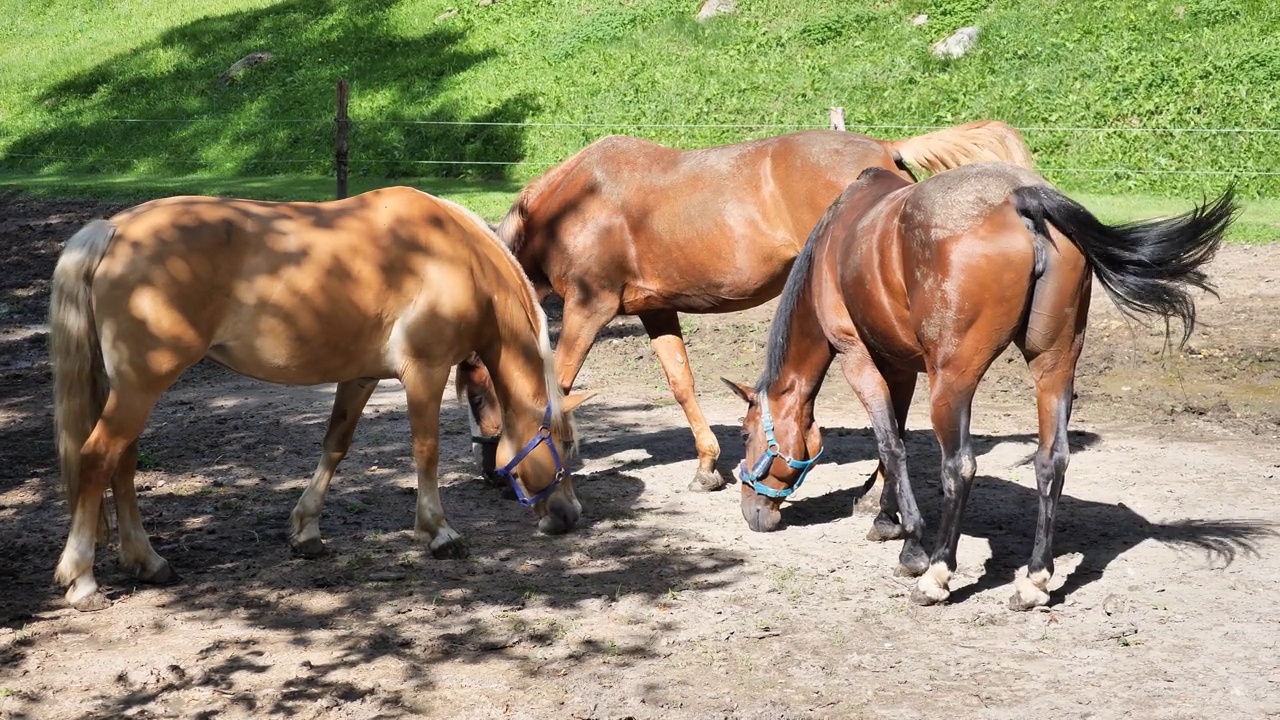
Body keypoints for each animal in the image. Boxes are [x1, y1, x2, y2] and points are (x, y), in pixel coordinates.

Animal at [49, 185, 588, 609]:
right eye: (564, 446)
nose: (569, 517)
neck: (454, 258)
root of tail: (113, 230)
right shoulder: (424, 374)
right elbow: (426, 451)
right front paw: (439, 533)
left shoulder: (361, 377)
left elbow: (335, 445)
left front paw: (306, 531)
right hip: (141, 384)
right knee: (98, 458)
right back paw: (82, 579)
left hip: (130, 389)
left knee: (122, 462)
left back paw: (147, 561)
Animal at [465, 124, 1034, 491]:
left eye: (474, 394)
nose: (487, 472)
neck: (575, 203)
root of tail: (884, 150)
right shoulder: (656, 310)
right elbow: (681, 382)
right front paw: (706, 466)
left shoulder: (589, 307)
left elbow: (558, 382)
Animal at [727, 165, 1233, 607]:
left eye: (747, 435)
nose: (752, 513)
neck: (836, 242)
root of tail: (1021, 197)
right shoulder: (900, 367)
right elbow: (896, 441)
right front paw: (887, 519)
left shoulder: (859, 358)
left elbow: (891, 445)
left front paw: (910, 546)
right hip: (1054, 367)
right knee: (1052, 461)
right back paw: (1035, 581)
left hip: (953, 382)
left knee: (960, 467)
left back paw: (937, 576)